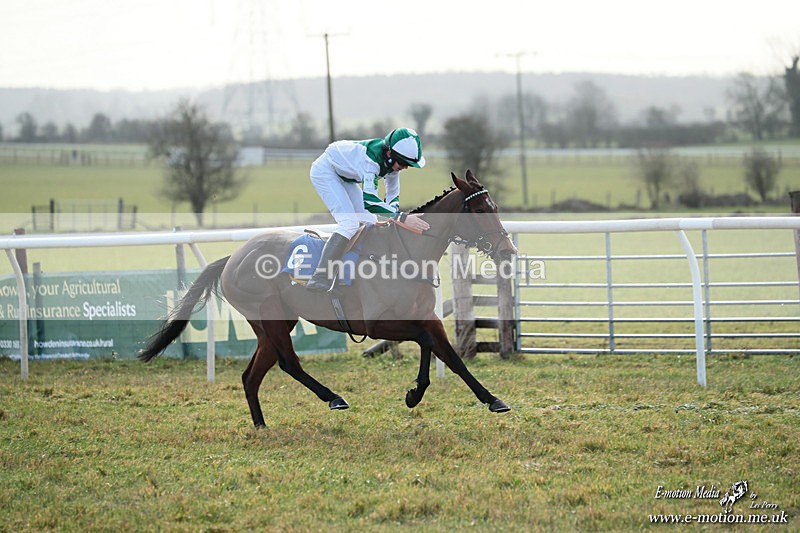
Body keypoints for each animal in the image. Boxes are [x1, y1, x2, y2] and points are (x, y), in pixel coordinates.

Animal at [139, 169, 517, 427]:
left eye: (496, 206)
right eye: (480, 211)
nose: (507, 251)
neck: (405, 253)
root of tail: (232, 257)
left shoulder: (426, 316)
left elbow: (447, 355)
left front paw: (485, 399)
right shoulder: (377, 324)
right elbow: (431, 345)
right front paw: (420, 392)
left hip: (271, 323)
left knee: (251, 375)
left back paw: (261, 426)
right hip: (270, 317)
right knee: (289, 364)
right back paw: (333, 398)